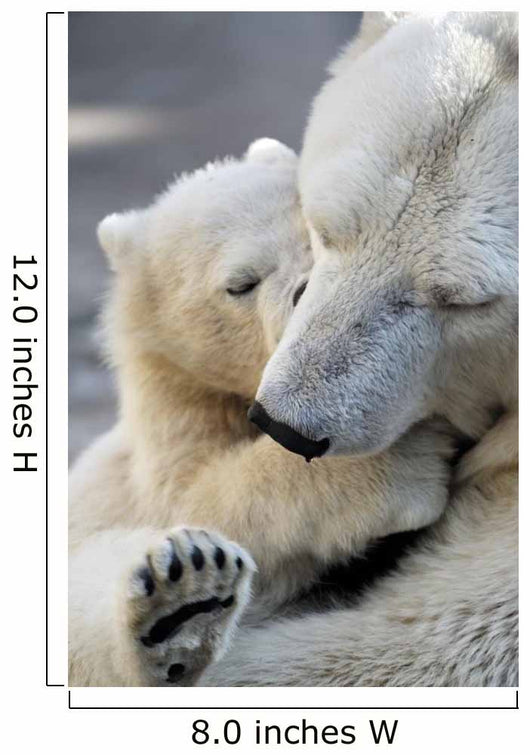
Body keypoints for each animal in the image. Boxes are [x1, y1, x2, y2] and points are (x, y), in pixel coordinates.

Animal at [69, 138, 453, 686]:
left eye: (318, 237)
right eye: (241, 284)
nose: (308, 289)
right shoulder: (173, 411)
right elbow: (196, 497)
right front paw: (402, 463)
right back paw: (180, 611)